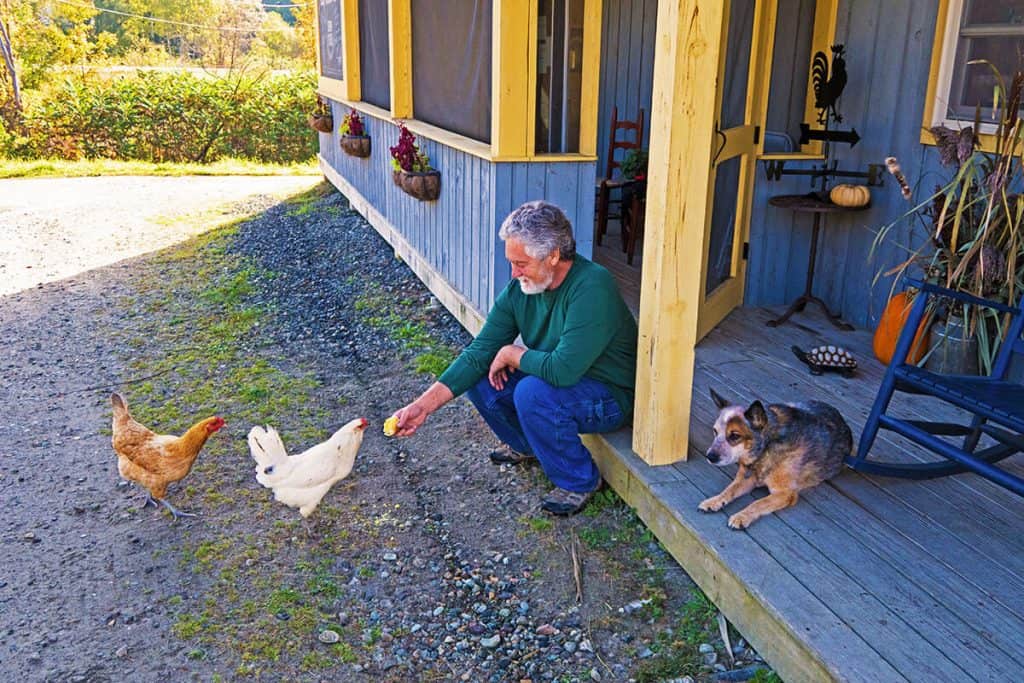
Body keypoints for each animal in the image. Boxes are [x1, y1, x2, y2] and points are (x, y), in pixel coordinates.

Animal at [700, 389, 851, 528]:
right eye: (715, 431)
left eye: (735, 436)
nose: (710, 457)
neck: (766, 447)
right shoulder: (747, 479)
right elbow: (729, 489)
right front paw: (714, 500)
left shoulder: (785, 493)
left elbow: (759, 502)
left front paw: (741, 516)